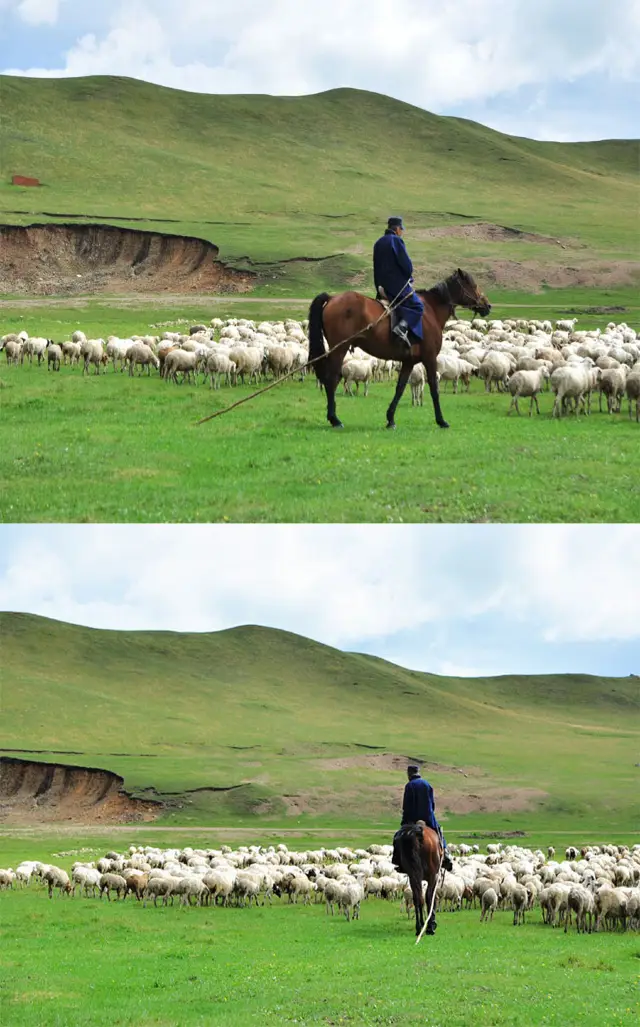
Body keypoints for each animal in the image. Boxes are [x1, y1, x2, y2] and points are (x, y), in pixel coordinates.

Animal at [308, 269, 493, 429]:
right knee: (331, 379)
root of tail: (332, 298)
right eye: (473, 284)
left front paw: (390, 419)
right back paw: (334, 419)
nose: (488, 305)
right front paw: (441, 421)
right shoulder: (430, 358)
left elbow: (400, 387)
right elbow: (434, 388)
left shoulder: (409, 362)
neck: (430, 310)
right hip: (339, 349)